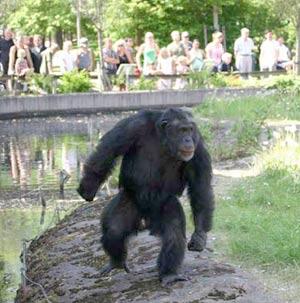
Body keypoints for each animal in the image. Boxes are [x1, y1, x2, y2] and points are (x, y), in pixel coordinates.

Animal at [77, 108, 213, 288]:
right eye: (182, 130)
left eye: (190, 130)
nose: (188, 139)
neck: (163, 141)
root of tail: (146, 219)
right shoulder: (132, 127)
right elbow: (108, 152)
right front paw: (88, 188)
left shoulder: (198, 148)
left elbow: (200, 187)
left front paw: (199, 236)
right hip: (129, 199)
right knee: (114, 231)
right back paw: (116, 261)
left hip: (165, 204)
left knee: (174, 234)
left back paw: (169, 274)